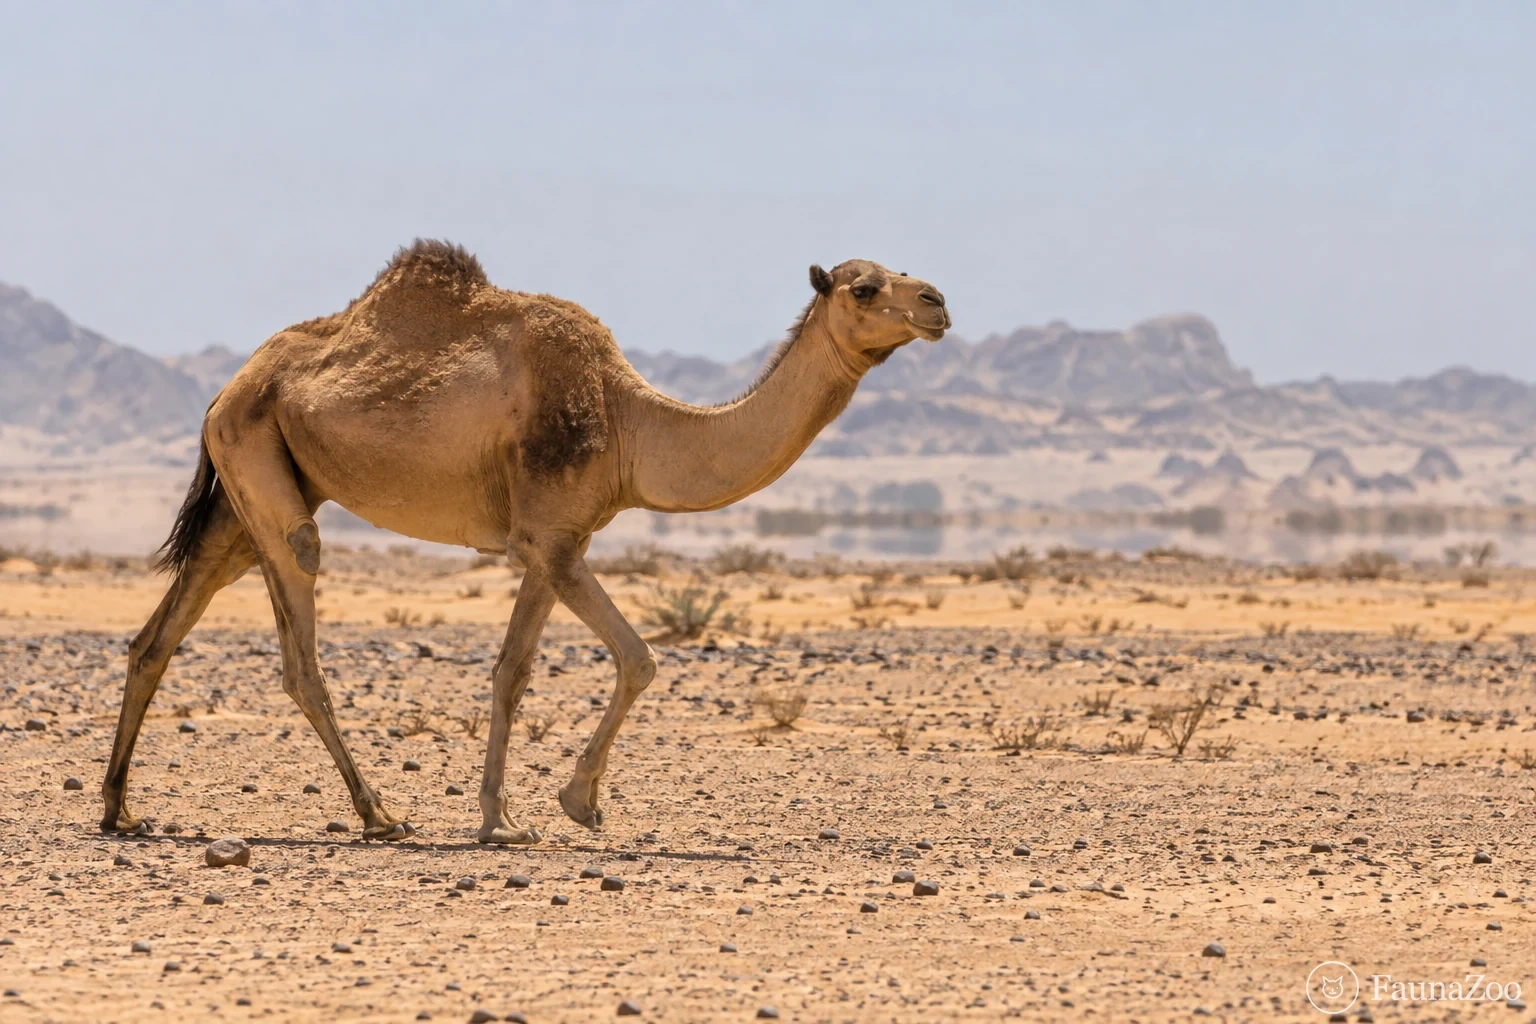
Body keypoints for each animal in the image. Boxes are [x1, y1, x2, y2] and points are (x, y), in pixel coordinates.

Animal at [102, 240, 950, 844]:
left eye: (904, 272)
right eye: (864, 287)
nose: (938, 301)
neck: (630, 423)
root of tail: (227, 387)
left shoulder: (557, 542)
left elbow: (518, 671)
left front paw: (506, 817)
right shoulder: (551, 540)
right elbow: (633, 659)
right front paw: (566, 805)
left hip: (247, 489)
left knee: (160, 633)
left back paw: (120, 810)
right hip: (262, 467)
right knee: (299, 636)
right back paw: (379, 814)